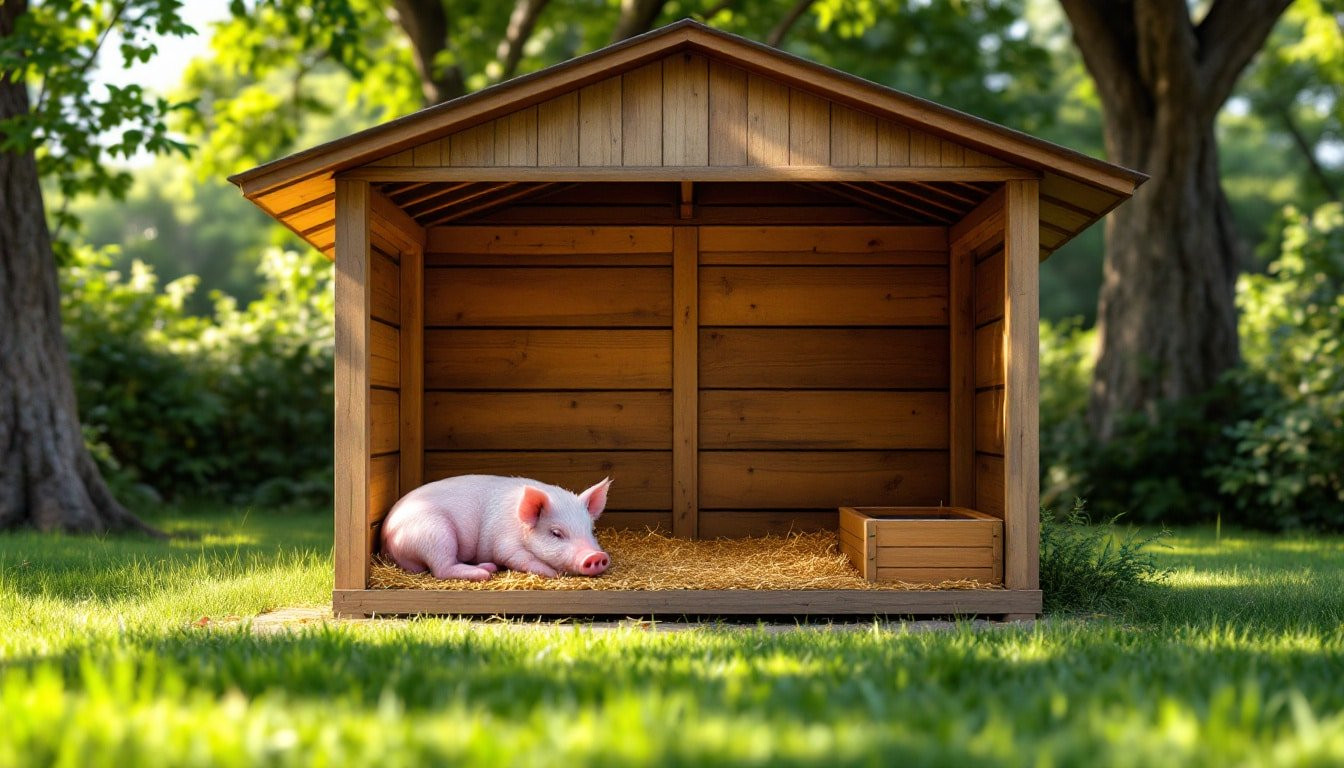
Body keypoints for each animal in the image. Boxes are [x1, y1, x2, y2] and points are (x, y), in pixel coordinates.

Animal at [380, 475, 612, 581]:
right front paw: (553, 574)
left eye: (591, 530)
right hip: (435, 533)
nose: (596, 556)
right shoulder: (504, 542)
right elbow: (520, 558)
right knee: (441, 568)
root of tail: (386, 534)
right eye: (556, 533)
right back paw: (485, 573)